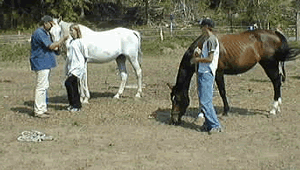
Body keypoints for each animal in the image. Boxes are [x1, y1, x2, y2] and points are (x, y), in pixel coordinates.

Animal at [168, 29, 298, 125]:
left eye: (177, 99)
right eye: (171, 99)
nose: (174, 120)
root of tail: (275, 33)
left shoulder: (218, 73)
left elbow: (222, 91)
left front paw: (225, 111)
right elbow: (204, 93)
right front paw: (202, 114)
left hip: (269, 64)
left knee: (276, 82)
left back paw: (273, 109)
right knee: (278, 82)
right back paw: (278, 107)